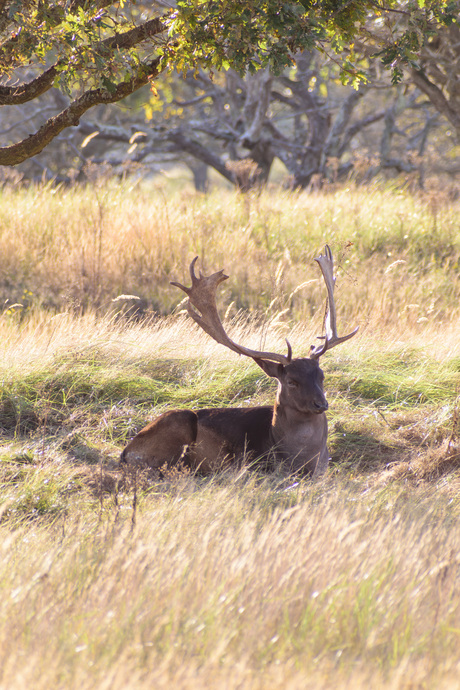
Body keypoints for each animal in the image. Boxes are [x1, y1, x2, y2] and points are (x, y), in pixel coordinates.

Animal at [120, 245, 358, 476]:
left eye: (322, 376)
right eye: (291, 381)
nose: (321, 403)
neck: (304, 460)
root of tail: (125, 451)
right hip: (178, 425)